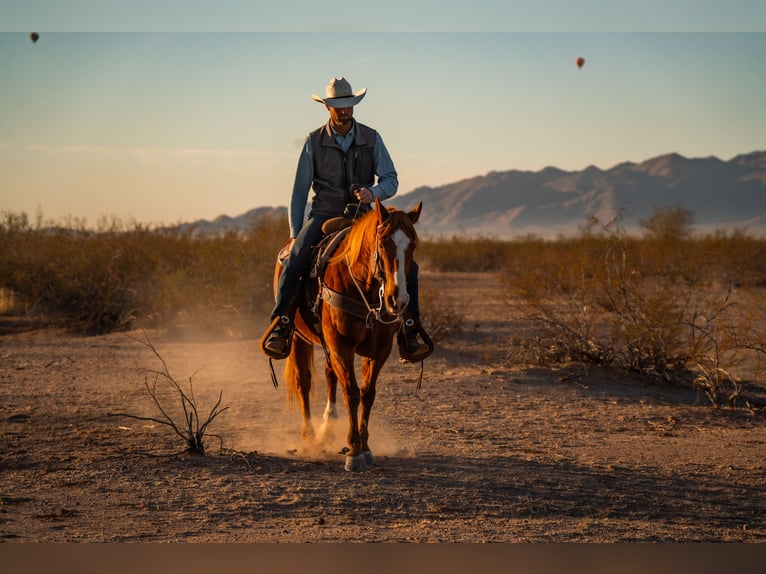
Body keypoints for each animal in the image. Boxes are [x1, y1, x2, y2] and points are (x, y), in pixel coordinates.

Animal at [284, 198, 424, 472]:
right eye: (383, 243)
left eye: (413, 245)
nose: (398, 300)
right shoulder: (342, 346)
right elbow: (351, 392)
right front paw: (354, 451)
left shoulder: (379, 350)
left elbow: (368, 393)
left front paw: (366, 447)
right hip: (298, 337)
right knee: (303, 381)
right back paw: (309, 436)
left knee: (329, 374)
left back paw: (328, 425)